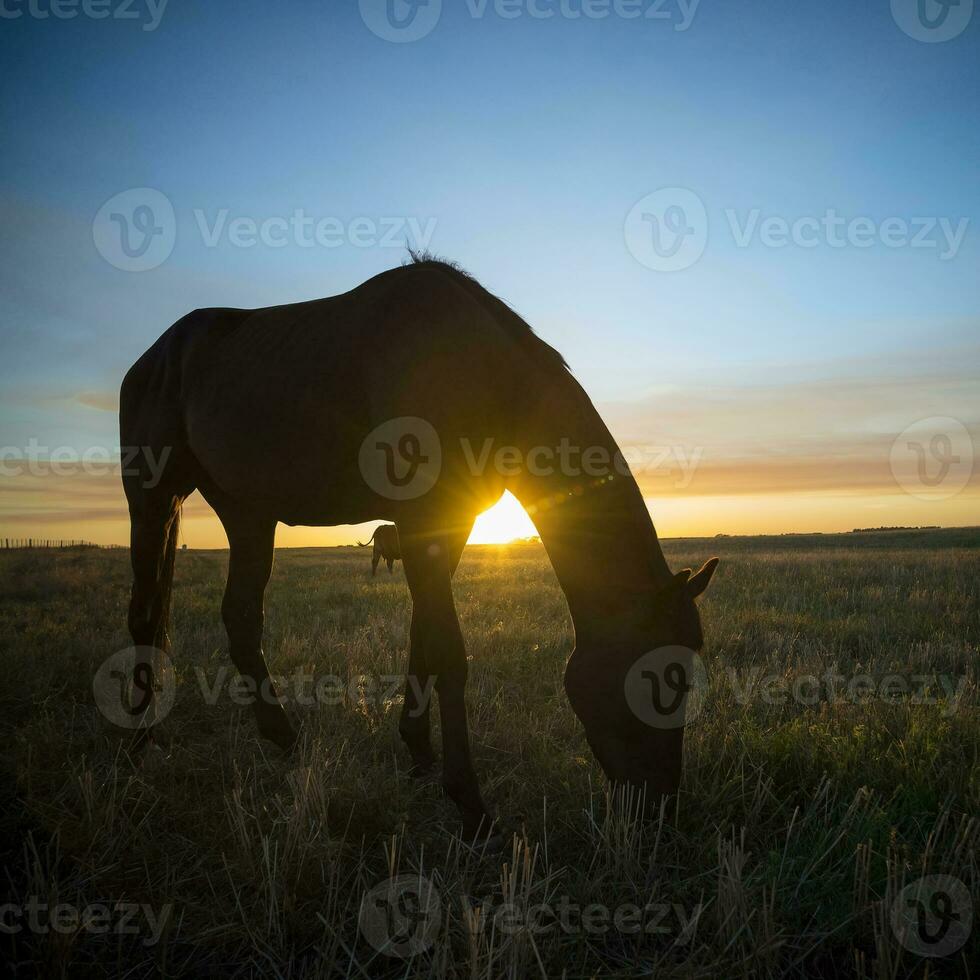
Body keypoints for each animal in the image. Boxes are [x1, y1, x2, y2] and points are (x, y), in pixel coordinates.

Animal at [120, 253, 720, 844]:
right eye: (661, 680)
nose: (660, 810)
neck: (483, 374)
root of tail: (152, 357)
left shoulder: (448, 525)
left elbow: (422, 639)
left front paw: (419, 753)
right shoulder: (420, 519)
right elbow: (450, 654)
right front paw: (471, 806)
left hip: (248, 513)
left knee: (241, 616)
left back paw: (285, 740)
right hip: (153, 498)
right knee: (146, 615)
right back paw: (137, 745)